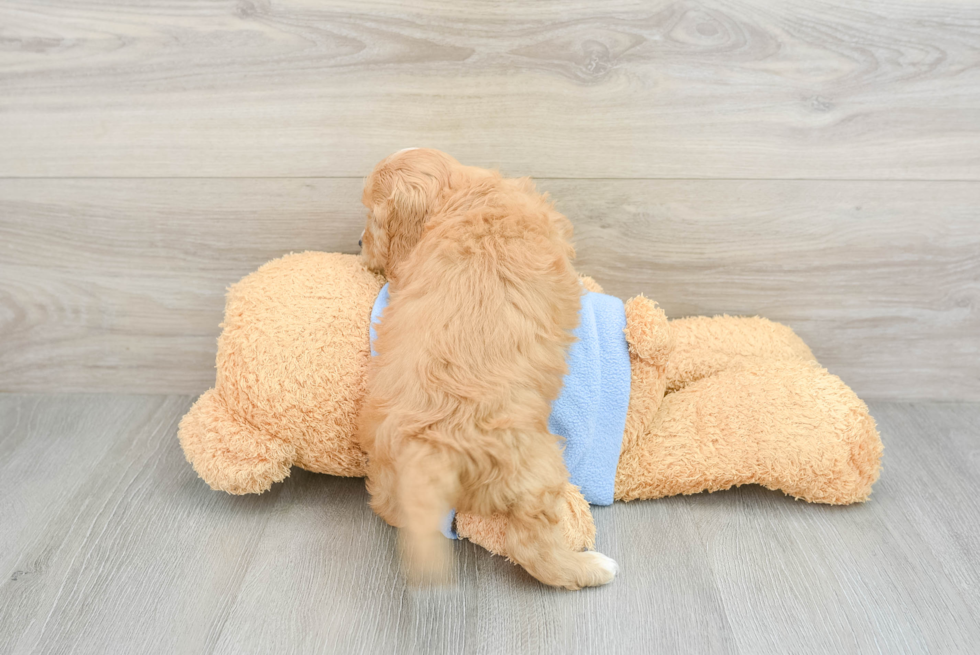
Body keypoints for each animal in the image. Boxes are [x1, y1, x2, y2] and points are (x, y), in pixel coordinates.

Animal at [356, 151, 616, 592]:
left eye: (370, 216)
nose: (358, 244)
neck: (461, 194)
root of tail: (431, 448)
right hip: (537, 468)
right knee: (532, 546)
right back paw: (591, 567)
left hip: (388, 465)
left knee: (392, 510)